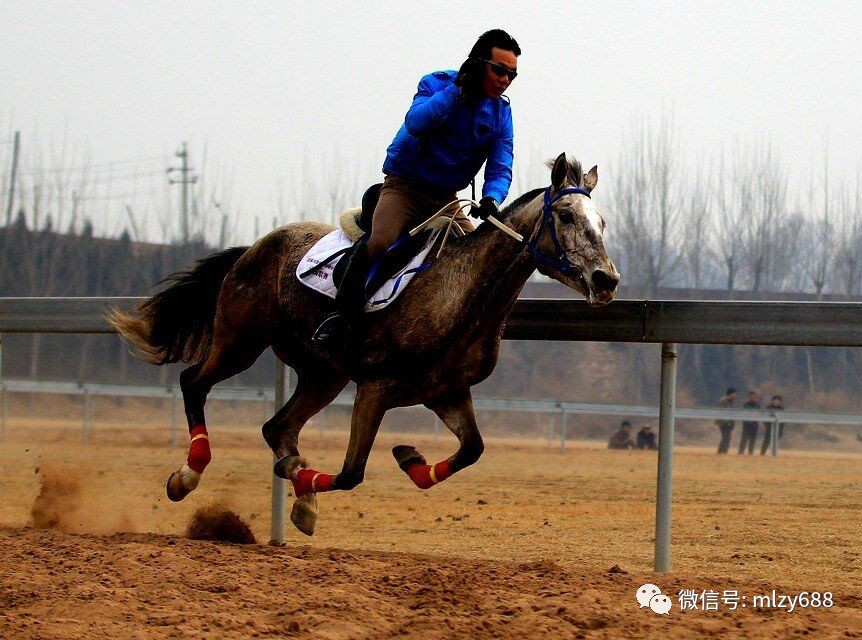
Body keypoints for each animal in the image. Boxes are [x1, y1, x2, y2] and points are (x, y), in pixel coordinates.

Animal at [109, 154, 620, 536]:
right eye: (566, 215)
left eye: (602, 222)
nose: (606, 280)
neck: (457, 291)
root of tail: (251, 248)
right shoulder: (376, 387)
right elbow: (352, 472)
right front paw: (304, 485)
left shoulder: (447, 392)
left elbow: (471, 450)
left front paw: (409, 459)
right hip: (241, 342)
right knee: (193, 383)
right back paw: (187, 475)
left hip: (323, 374)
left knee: (277, 428)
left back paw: (298, 486)